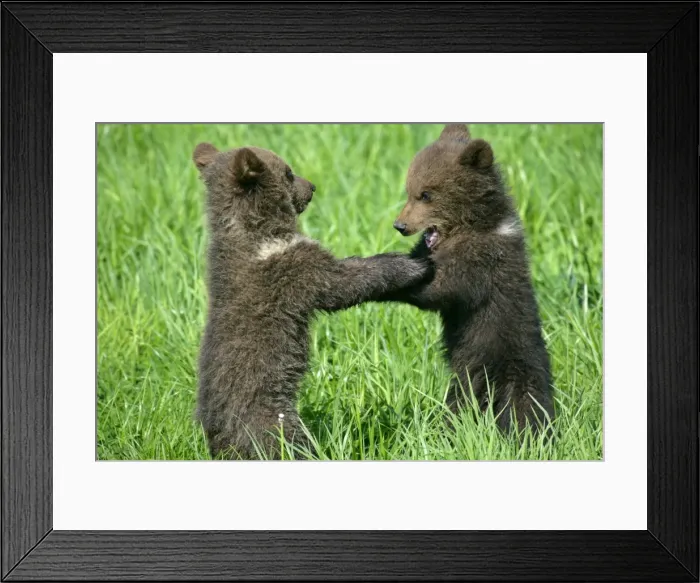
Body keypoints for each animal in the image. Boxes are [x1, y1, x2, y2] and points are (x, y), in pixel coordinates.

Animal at [193, 142, 433, 459]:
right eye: (288, 172)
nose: (312, 186)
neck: (255, 231)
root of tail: (218, 434)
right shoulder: (293, 269)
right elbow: (342, 281)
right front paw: (410, 264)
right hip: (270, 420)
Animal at [378, 124, 554, 435]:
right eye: (409, 191)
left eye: (426, 194)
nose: (400, 225)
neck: (473, 225)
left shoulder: (480, 263)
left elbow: (439, 290)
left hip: (501, 365)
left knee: (520, 408)